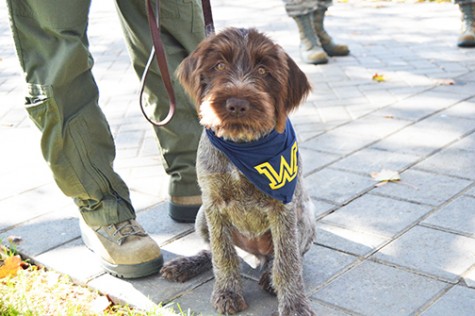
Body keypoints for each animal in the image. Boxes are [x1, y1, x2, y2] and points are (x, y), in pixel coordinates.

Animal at [162, 27, 318, 316]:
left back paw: (269, 277)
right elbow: (222, 255)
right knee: (214, 251)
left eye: (264, 71)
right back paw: (186, 264)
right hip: (201, 216)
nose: (236, 104)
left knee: (280, 258)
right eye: (219, 66)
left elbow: (287, 262)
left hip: (305, 219)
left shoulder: (284, 209)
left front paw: (294, 304)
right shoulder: (213, 204)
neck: (243, 145)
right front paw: (227, 292)